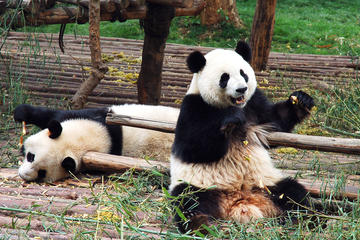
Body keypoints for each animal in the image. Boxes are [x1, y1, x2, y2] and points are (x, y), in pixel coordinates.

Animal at [14, 103, 180, 182]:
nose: (23, 174)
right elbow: (51, 116)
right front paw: (21, 113)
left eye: (42, 172)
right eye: (31, 156)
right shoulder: (93, 115)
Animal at [169, 41, 316, 232]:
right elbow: (193, 148)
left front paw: (301, 100)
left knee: (294, 194)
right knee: (188, 200)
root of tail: (240, 200)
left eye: (243, 73)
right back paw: (199, 223)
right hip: (200, 185)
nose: (241, 89)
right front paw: (231, 121)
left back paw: (309, 219)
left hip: (267, 184)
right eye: (224, 78)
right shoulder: (194, 107)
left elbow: (276, 121)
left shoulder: (254, 104)